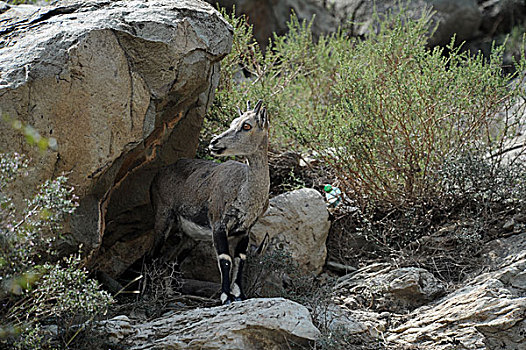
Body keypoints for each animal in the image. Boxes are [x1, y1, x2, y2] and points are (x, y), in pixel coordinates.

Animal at [151, 100, 270, 304]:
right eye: (232, 122)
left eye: (246, 125)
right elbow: (225, 259)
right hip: (163, 216)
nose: (214, 142)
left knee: (170, 260)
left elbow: (239, 259)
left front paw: (240, 295)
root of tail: (160, 173)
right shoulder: (218, 224)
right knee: (153, 255)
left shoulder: (244, 230)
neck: (246, 191)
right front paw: (226, 297)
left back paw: (171, 292)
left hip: (191, 237)